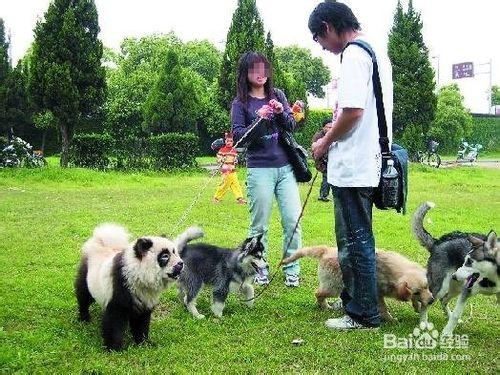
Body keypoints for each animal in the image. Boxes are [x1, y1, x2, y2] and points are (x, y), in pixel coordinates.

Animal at [74, 222, 203, 352]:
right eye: (165, 256)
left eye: (175, 252)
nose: (181, 264)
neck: (137, 275)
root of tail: (99, 241)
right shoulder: (120, 289)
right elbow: (114, 320)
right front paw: (114, 348)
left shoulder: (145, 298)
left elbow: (141, 321)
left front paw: (143, 343)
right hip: (87, 275)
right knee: (83, 296)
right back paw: (85, 318)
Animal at [280, 245, 432, 322]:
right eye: (417, 291)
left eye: (426, 287)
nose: (431, 300)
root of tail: (326, 250)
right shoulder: (377, 293)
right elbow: (384, 308)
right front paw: (390, 319)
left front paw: (416, 306)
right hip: (334, 286)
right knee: (318, 293)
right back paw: (324, 306)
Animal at [410, 201, 496, 334]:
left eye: (469, 261)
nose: (455, 275)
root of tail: (437, 242)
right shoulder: (467, 290)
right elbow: (457, 313)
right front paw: (447, 333)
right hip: (441, 288)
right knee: (426, 304)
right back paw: (423, 323)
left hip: (456, 287)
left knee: (443, 300)